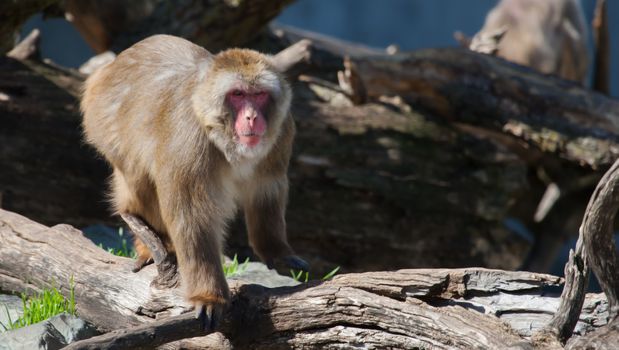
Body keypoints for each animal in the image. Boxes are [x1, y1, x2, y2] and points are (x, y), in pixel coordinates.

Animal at [80, 34, 308, 326]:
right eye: (238, 94)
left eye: (259, 95)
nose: (252, 117)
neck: (218, 132)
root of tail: (109, 68)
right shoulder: (190, 140)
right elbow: (191, 215)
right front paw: (208, 296)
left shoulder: (281, 131)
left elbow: (267, 190)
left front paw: (276, 250)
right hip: (104, 124)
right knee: (138, 180)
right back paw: (144, 235)